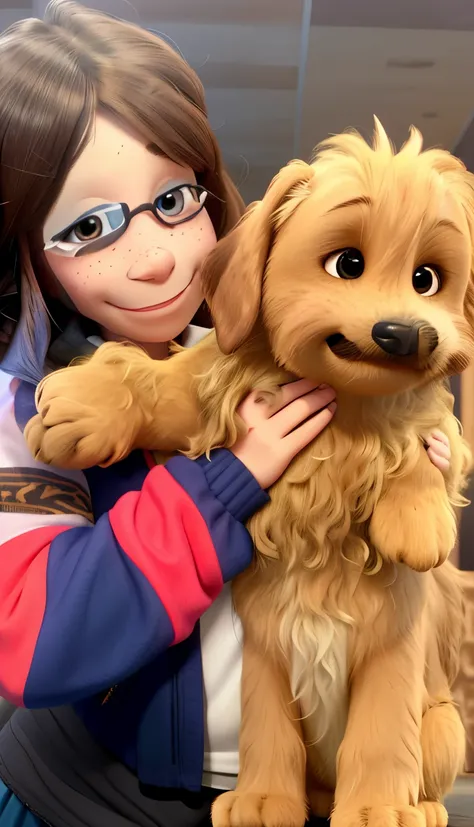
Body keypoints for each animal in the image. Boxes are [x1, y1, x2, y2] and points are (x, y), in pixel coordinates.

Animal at [27, 121, 472, 827]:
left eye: (427, 279)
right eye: (347, 264)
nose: (408, 335)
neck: (345, 410)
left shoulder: (391, 650)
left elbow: (425, 433)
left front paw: (377, 809)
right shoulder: (267, 650)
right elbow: (166, 388)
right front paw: (84, 406)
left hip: (444, 725)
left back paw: (415, 807)